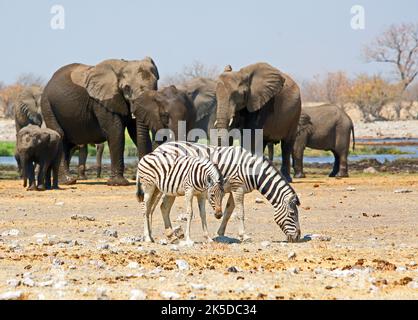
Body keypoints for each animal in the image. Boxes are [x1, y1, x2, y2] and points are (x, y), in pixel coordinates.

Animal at [153, 141, 300, 241]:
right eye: (292, 214)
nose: (298, 237)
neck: (252, 170)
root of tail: (160, 147)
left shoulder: (236, 190)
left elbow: (228, 212)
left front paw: (220, 233)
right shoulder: (238, 188)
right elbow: (240, 212)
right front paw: (244, 235)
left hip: (171, 188)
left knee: (164, 206)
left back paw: (171, 235)